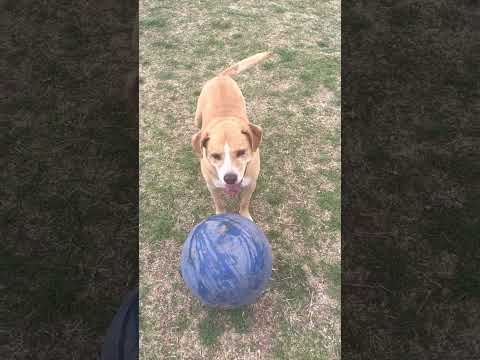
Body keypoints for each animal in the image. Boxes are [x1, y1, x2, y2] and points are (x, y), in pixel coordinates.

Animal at [192, 50, 274, 219]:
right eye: (215, 156)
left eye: (242, 152)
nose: (230, 179)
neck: (225, 123)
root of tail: (220, 76)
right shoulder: (213, 187)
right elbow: (219, 203)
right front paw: (220, 215)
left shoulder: (250, 184)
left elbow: (244, 202)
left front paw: (244, 216)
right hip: (197, 118)